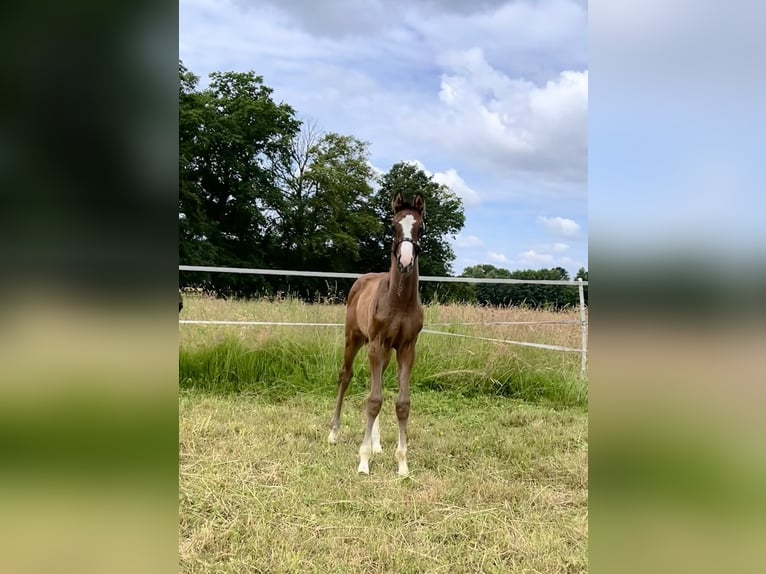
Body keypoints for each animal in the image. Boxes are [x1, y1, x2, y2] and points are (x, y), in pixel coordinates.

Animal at [328, 191, 428, 474]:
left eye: (420, 228)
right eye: (393, 226)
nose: (405, 262)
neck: (399, 302)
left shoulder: (407, 348)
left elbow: (401, 404)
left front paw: (402, 464)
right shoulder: (377, 344)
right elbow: (373, 400)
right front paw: (363, 461)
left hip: (384, 352)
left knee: (377, 382)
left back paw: (376, 443)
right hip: (354, 339)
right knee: (345, 376)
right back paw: (334, 433)